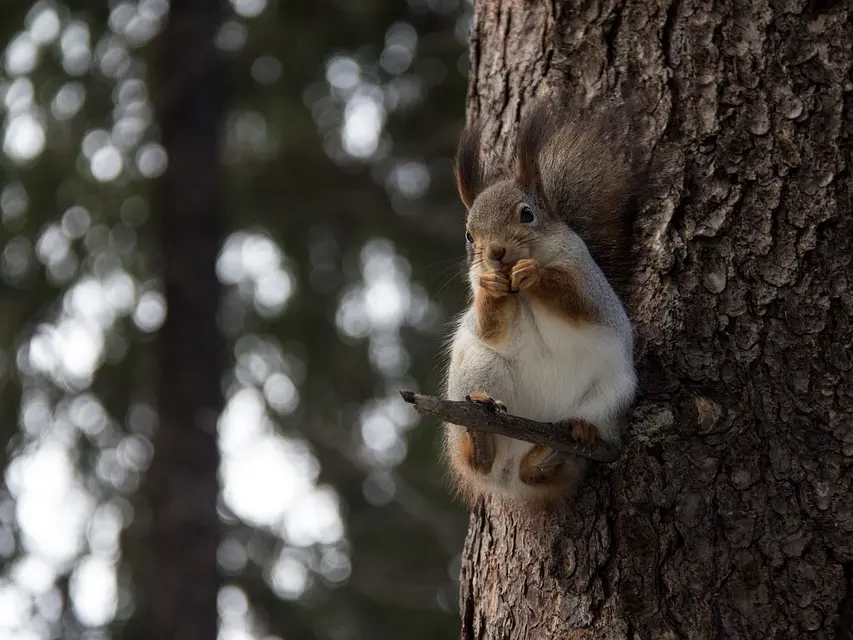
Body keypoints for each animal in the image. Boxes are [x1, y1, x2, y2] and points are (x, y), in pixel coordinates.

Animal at [442, 97, 647, 505]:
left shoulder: (587, 281)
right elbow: (491, 329)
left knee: (546, 462)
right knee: (478, 459)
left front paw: (533, 272)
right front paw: (491, 286)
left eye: (527, 214)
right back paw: (481, 434)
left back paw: (562, 445)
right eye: (469, 235)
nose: (496, 253)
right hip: (478, 369)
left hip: (610, 393)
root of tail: (508, 477)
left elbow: (577, 304)